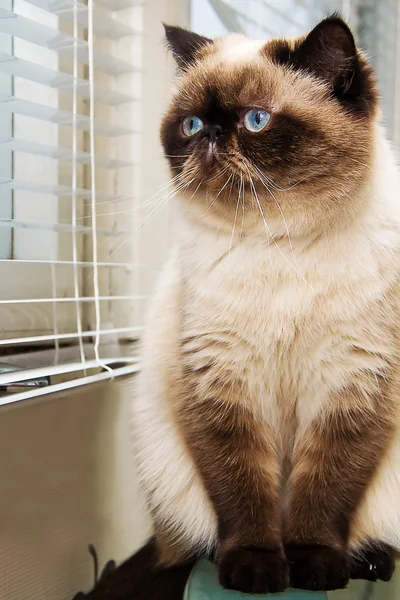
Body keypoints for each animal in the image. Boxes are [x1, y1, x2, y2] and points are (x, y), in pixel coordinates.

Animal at [77, 12, 400, 600]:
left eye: (255, 121)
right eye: (190, 125)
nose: (209, 137)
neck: (280, 244)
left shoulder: (352, 387)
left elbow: (324, 496)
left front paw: (315, 567)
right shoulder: (224, 388)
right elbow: (244, 496)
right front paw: (257, 571)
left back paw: (369, 562)